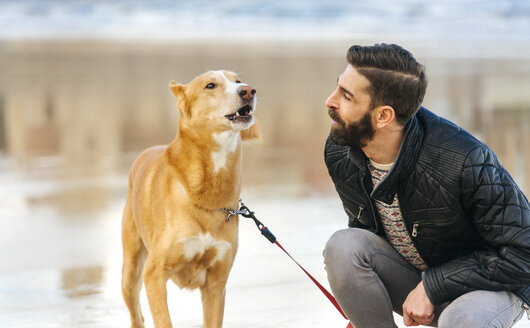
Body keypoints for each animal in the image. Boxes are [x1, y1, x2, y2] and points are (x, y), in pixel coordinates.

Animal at [121, 70, 258, 328]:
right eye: (210, 85)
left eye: (237, 80)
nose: (248, 90)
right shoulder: (154, 274)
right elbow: (163, 320)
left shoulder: (216, 284)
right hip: (131, 271)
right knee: (136, 314)